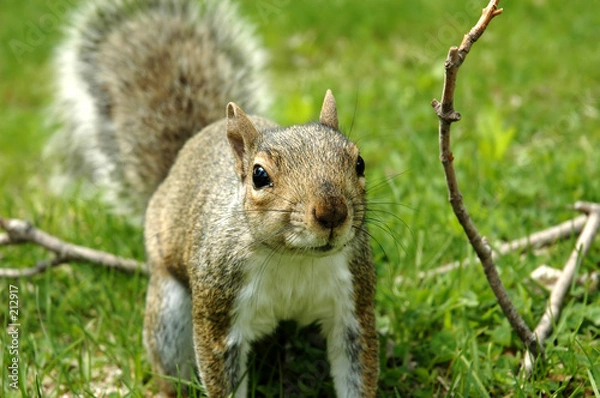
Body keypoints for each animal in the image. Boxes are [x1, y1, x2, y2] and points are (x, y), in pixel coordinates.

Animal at [47, 0, 378, 394]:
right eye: (259, 176)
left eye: (359, 163)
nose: (332, 213)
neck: (294, 258)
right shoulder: (217, 310)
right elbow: (221, 372)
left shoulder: (353, 306)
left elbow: (357, 370)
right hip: (170, 312)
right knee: (169, 365)